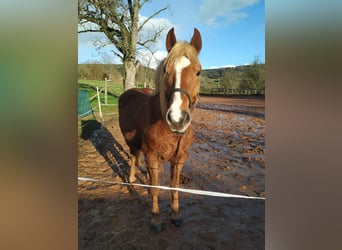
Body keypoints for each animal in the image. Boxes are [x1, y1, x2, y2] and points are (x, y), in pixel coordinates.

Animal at [119, 27, 202, 232]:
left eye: (198, 72)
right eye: (166, 70)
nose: (177, 119)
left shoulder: (179, 159)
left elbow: (174, 186)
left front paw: (175, 214)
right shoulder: (151, 155)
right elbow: (156, 187)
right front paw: (156, 218)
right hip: (131, 142)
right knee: (133, 157)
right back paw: (132, 179)